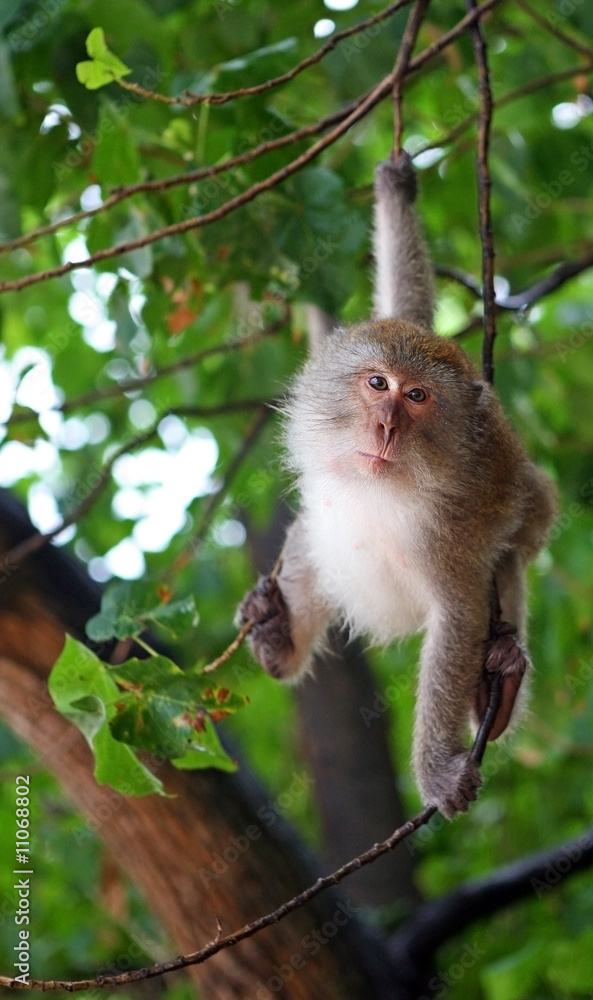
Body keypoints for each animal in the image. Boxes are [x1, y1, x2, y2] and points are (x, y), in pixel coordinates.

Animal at [237, 152, 556, 819]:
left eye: (417, 397)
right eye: (378, 383)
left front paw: (434, 770)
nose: (386, 427)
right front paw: (394, 190)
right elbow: (309, 531)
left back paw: (501, 686)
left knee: (508, 560)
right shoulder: (326, 483)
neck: (383, 489)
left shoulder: (444, 532)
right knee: (316, 540)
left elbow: (459, 615)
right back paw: (279, 639)